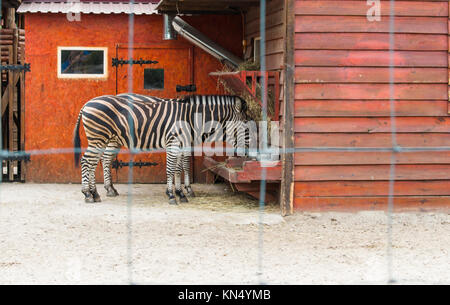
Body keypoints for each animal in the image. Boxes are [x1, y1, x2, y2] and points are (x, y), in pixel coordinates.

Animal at [74, 94, 250, 204]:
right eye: (247, 125)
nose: (249, 152)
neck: (190, 118)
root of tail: (87, 103)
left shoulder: (182, 144)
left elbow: (178, 169)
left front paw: (181, 193)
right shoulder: (174, 142)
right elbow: (173, 168)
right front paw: (174, 194)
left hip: (104, 139)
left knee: (96, 162)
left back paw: (98, 192)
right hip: (99, 138)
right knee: (87, 161)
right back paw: (88, 194)